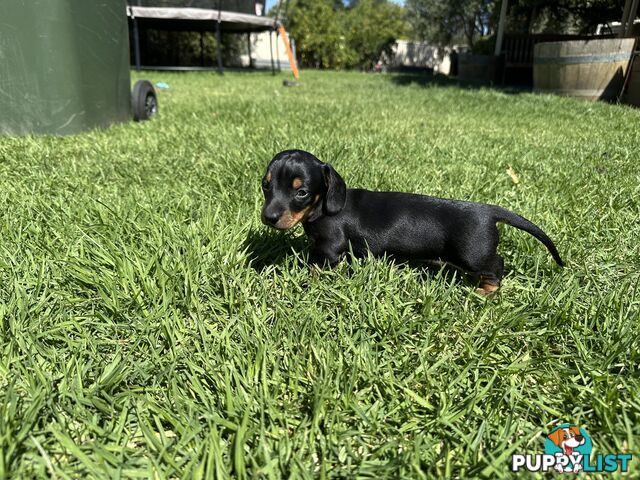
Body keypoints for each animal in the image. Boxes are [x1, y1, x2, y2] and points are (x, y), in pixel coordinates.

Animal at [262, 149, 564, 292]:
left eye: (301, 192)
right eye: (266, 185)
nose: (268, 218)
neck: (322, 207)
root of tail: (488, 211)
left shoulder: (330, 247)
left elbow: (317, 267)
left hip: (472, 255)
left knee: (496, 266)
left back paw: (485, 291)